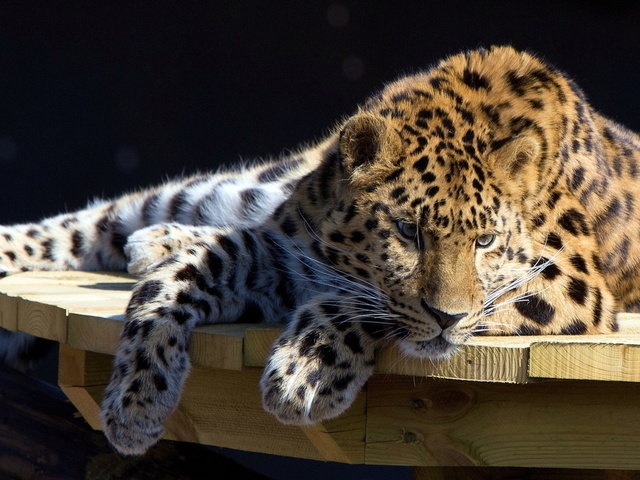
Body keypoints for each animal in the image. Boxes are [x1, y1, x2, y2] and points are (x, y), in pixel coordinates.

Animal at [0, 46, 639, 456]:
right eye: (406, 231)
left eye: (484, 242)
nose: (447, 319)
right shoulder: (285, 254)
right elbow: (181, 279)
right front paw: (135, 403)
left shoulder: (570, 284)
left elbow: (360, 302)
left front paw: (303, 371)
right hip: (229, 190)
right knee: (98, 222)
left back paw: (158, 241)